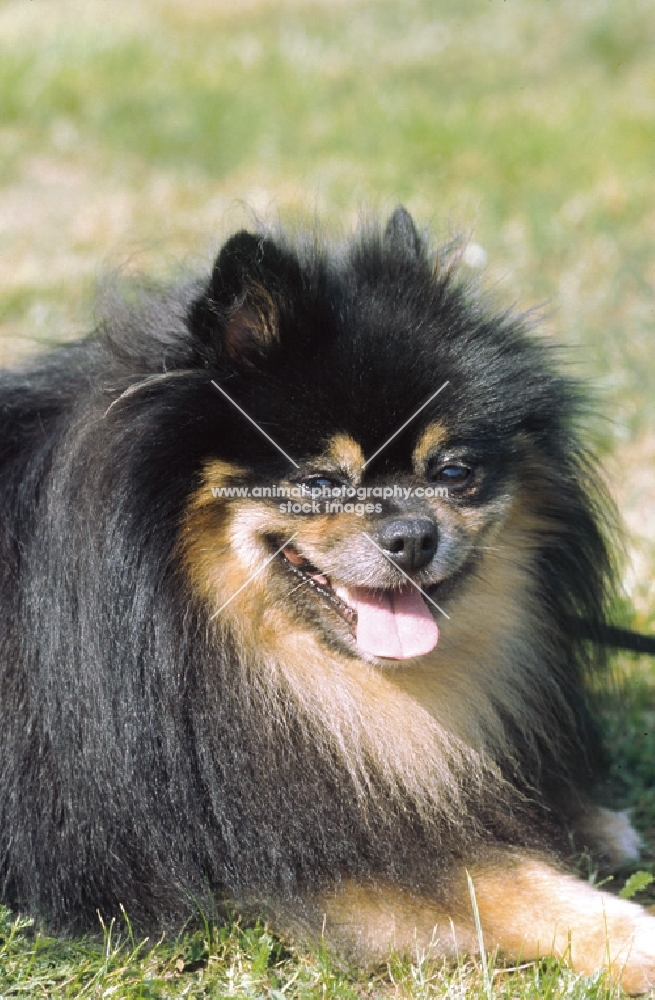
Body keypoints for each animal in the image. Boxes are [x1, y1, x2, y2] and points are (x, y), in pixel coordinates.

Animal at [1, 207, 655, 988]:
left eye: (452, 472)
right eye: (320, 483)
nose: (413, 535)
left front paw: (585, 817)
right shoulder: (240, 847)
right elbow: (496, 880)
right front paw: (628, 936)